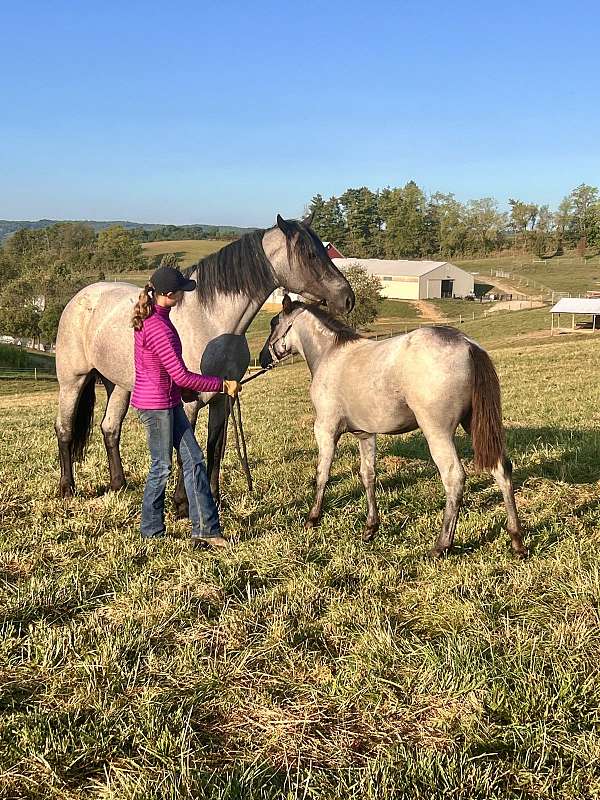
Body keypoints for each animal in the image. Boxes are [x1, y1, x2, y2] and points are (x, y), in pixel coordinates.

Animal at [54, 216, 354, 510]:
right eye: (310, 254)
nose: (347, 298)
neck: (211, 323)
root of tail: (81, 297)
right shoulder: (188, 402)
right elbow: (185, 450)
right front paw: (182, 505)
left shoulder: (224, 398)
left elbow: (215, 447)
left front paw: (214, 498)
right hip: (72, 381)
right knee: (64, 428)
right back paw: (67, 488)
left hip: (117, 385)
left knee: (110, 428)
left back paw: (119, 484)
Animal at [260, 296, 528, 560]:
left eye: (274, 322)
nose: (263, 358)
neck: (331, 354)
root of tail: (467, 344)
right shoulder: (365, 435)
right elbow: (367, 475)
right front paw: (371, 527)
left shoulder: (325, 430)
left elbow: (322, 474)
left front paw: (313, 518)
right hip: (475, 427)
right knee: (501, 469)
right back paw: (516, 540)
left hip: (437, 433)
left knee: (454, 477)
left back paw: (441, 546)